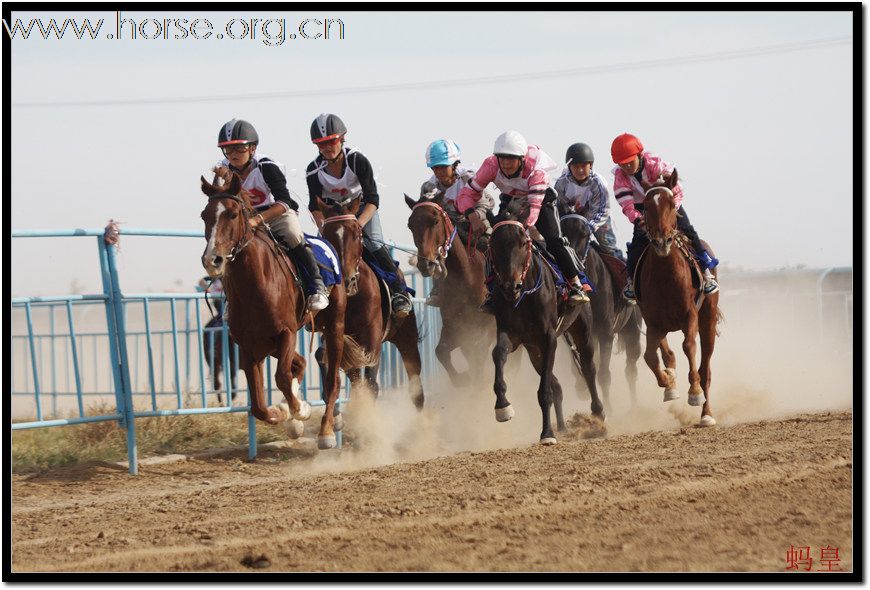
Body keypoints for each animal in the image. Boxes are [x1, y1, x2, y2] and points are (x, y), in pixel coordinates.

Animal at [199, 173, 350, 450]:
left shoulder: (286, 332)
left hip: (334, 325)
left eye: (233, 214)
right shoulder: (249, 345)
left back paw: (325, 431)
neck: (256, 284)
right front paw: (283, 412)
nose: (212, 260)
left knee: (331, 381)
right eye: (205, 215)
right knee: (299, 363)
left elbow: (281, 376)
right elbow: (258, 404)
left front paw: (299, 410)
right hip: (271, 344)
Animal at [316, 194, 426, 412]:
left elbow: (371, 385)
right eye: (326, 235)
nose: (347, 279)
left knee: (415, 385)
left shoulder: (372, 336)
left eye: (356, 234)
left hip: (406, 337)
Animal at [406, 192, 494, 388]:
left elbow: (480, 354)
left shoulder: (487, 327)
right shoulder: (454, 326)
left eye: (435, 220)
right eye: (410, 224)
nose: (426, 264)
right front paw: (462, 379)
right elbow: (442, 351)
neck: (466, 278)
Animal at [488, 201, 604, 446]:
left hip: (582, 329)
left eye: (523, 242)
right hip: (533, 350)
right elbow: (498, 353)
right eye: (493, 243)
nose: (510, 286)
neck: (524, 295)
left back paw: (597, 414)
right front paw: (503, 406)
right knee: (557, 384)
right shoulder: (512, 334)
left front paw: (547, 434)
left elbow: (545, 391)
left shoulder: (548, 338)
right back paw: (562, 427)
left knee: (588, 368)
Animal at [636, 171, 724, 430]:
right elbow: (649, 356)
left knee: (706, 369)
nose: (662, 242)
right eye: (645, 206)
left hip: (707, 320)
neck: (666, 277)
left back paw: (706, 414)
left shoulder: (689, 316)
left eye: (672, 204)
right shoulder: (653, 323)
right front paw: (667, 384)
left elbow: (688, 347)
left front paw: (693, 392)